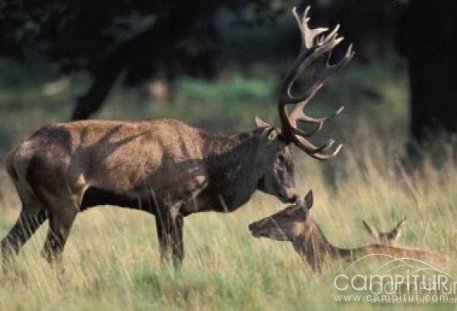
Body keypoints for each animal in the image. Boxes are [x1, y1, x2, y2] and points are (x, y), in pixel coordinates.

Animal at [1, 6, 352, 274]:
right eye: (282, 155)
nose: (293, 194)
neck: (208, 171)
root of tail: (18, 153)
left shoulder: (176, 211)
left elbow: (175, 258)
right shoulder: (166, 200)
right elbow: (172, 258)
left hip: (34, 203)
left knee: (9, 247)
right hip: (64, 198)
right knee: (50, 253)